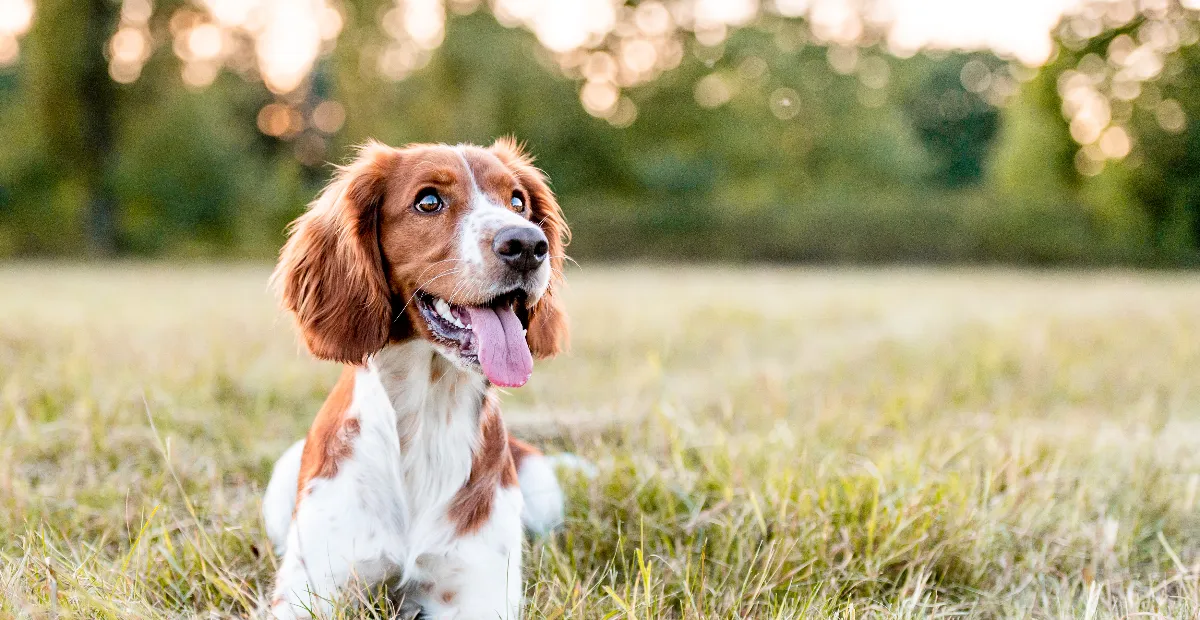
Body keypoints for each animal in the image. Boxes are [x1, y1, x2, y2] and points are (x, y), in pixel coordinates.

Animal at [260, 137, 568, 614]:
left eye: (518, 202)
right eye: (428, 201)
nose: (528, 244)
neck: (428, 416)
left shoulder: (478, 594)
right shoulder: (309, 592)